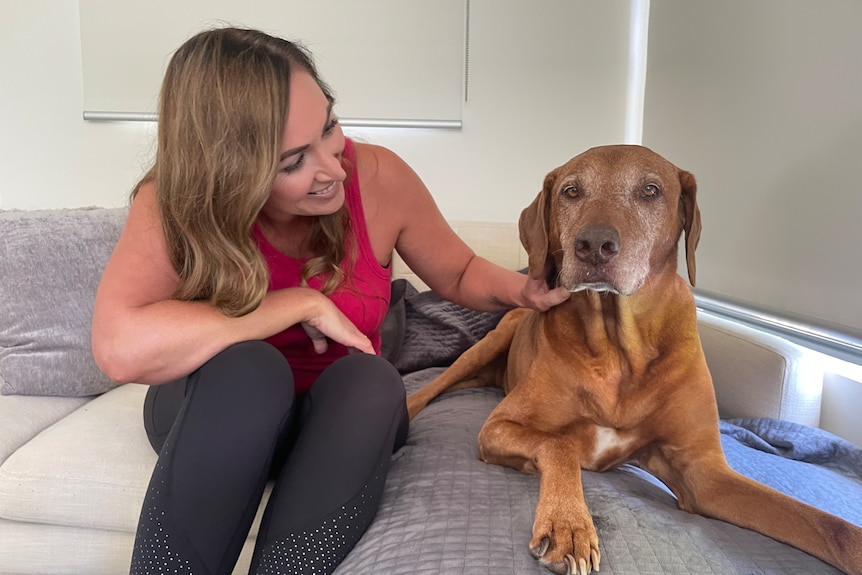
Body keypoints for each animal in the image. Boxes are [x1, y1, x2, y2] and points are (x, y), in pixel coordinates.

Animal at [406, 146, 862, 575]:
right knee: (434, 386)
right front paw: (567, 523)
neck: (618, 348)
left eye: (650, 190)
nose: (593, 245)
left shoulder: (705, 475)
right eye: (571, 191)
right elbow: (559, 443)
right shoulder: (500, 425)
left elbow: (828, 526)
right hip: (489, 342)